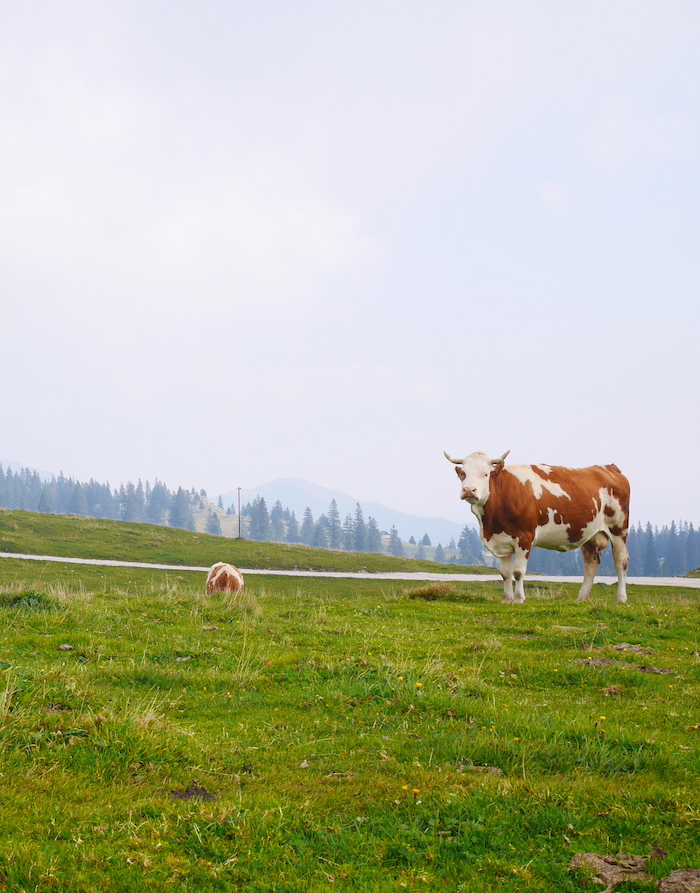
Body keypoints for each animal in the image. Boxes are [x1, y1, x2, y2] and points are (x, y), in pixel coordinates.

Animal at [444, 450, 630, 604]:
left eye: (486, 474)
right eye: (463, 473)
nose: (469, 490)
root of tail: (609, 468)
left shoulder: (525, 538)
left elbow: (518, 572)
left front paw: (519, 599)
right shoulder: (501, 540)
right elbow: (505, 573)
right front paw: (506, 599)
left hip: (619, 529)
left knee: (621, 562)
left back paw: (621, 599)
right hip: (589, 535)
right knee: (590, 565)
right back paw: (582, 598)